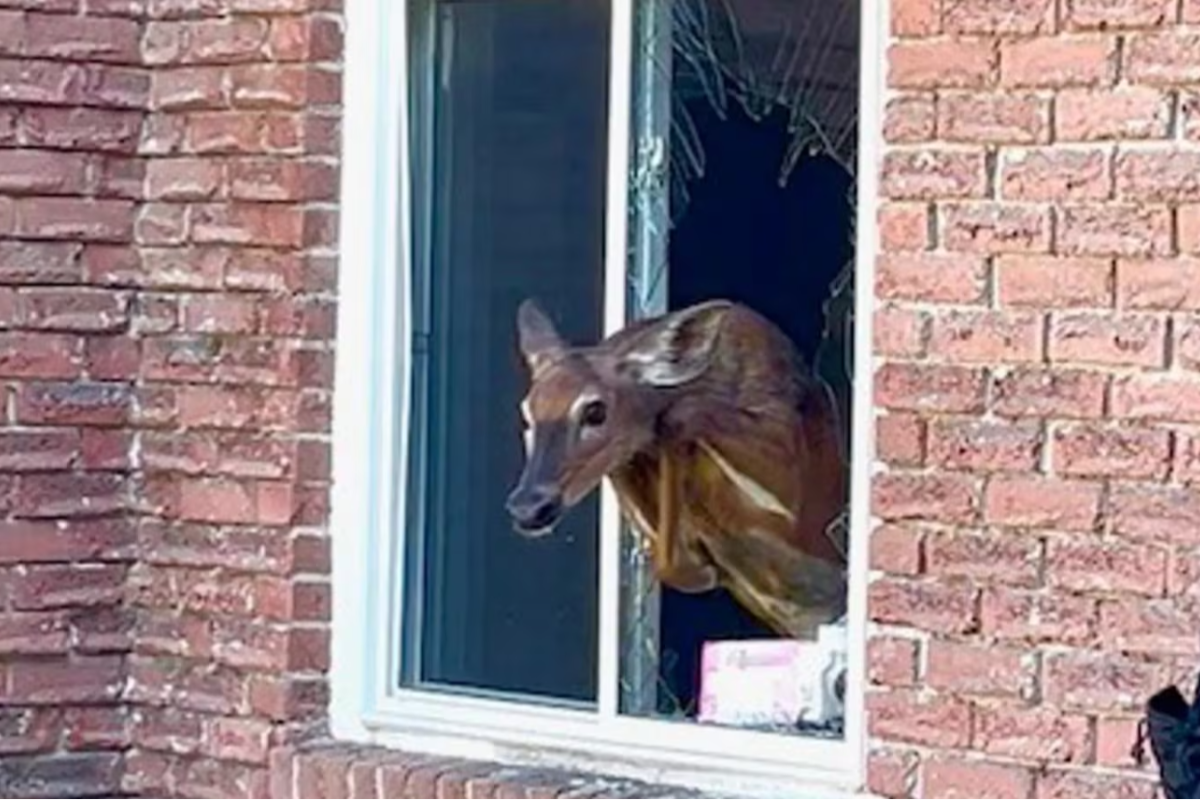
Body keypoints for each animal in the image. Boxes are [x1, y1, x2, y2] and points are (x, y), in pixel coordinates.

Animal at [505, 297, 848, 639]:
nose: (528, 507)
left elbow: (680, 417)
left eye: (595, 411)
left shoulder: (795, 483)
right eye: (526, 413)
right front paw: (700, 569)